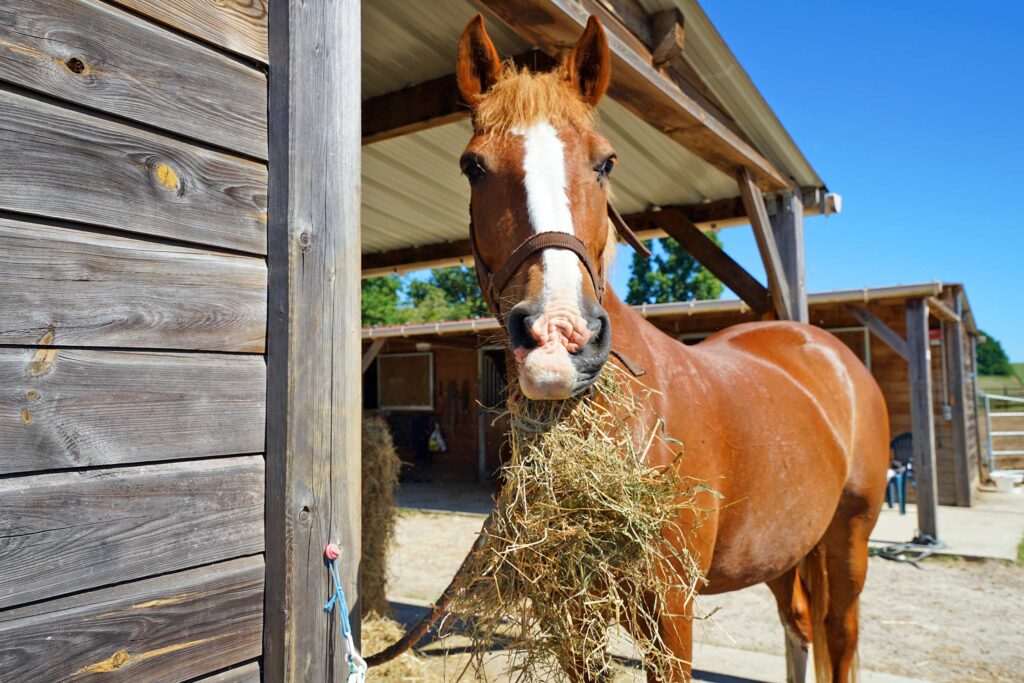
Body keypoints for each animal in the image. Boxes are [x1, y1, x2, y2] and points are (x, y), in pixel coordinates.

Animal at [370, 14, 890, 683]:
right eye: (473, 166)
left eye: (606, 163)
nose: (558, 338)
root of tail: (823, 348)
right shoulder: (577, 615)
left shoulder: (671, 608)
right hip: (786, 547)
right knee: (799, 626)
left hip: (849, 537)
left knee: (838, 636)